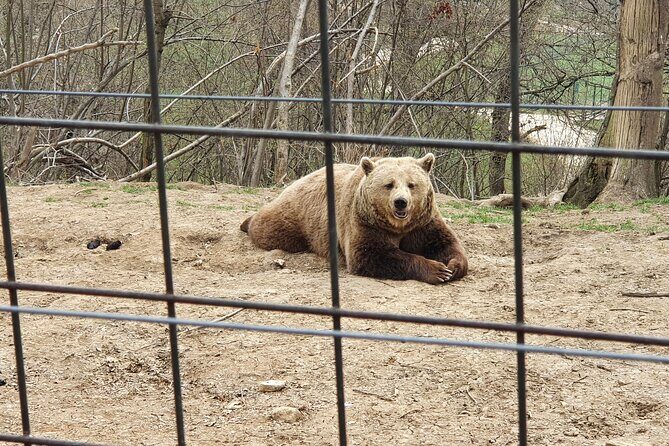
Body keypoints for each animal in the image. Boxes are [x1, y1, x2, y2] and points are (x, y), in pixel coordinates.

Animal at [240, 153, 468, 284]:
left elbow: (445, 243)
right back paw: (247, 222)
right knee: (271, 229)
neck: (398, 226)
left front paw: (453, 266)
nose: (401, 202)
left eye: (412, 184)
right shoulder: (364, 223)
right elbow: (371, 254)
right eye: (389, 184)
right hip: (296, 216)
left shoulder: (423, 223)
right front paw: (437, 270)